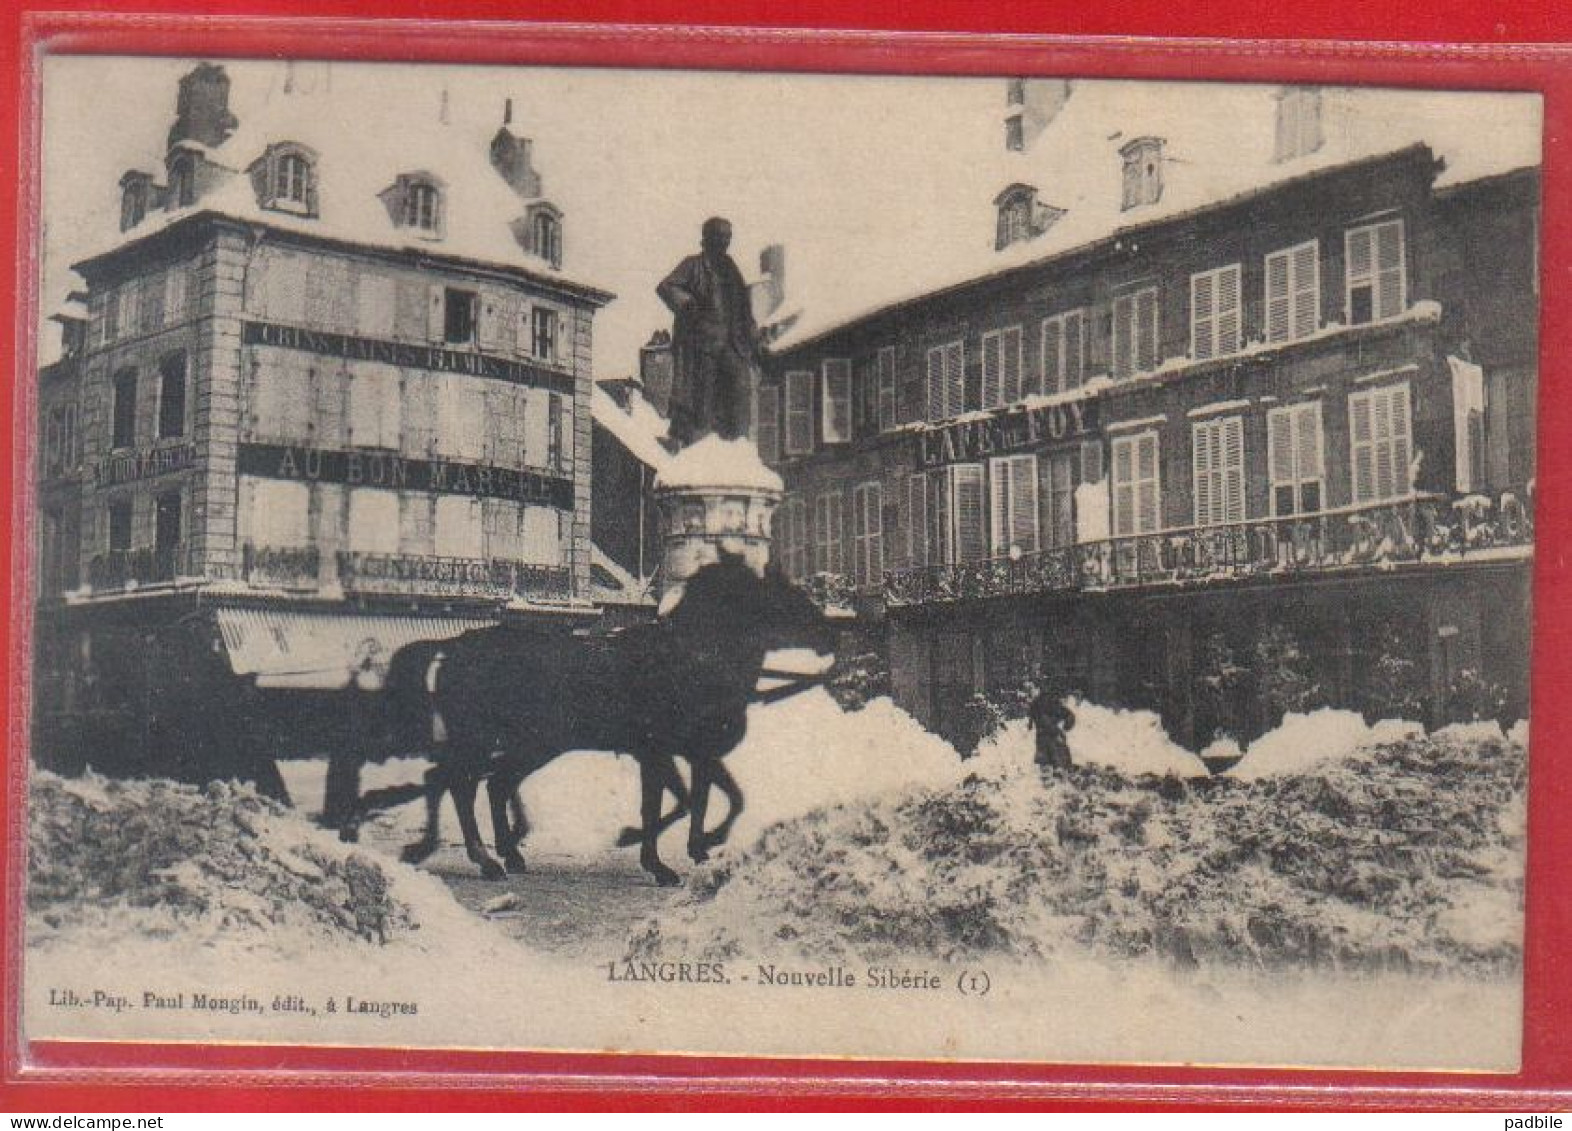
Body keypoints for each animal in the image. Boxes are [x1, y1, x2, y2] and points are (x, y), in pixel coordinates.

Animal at [388, 556, 830, 887]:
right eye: (782, 591)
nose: (828, 632)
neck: (688, 660)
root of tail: (453, 645)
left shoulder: (695, 753)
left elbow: (719, 797)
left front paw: (699, 847)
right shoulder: (658, 752)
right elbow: (673, 803)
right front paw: (654, 857)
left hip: (531, 744)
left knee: (485, 783)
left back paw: (503, 854)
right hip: (484, 741)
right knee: (457, 785)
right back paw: (482, 859)